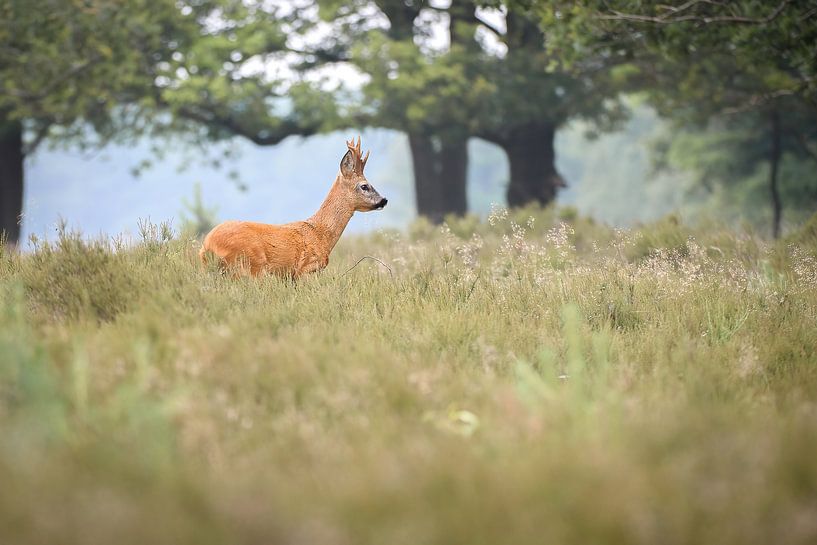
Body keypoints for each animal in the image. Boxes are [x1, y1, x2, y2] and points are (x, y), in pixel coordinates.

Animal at [199, 135, 388, 278]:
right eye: (364, 186)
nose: (384, 200)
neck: (320, 234)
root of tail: (208, 246)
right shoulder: (305, 270)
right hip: (248, 266)